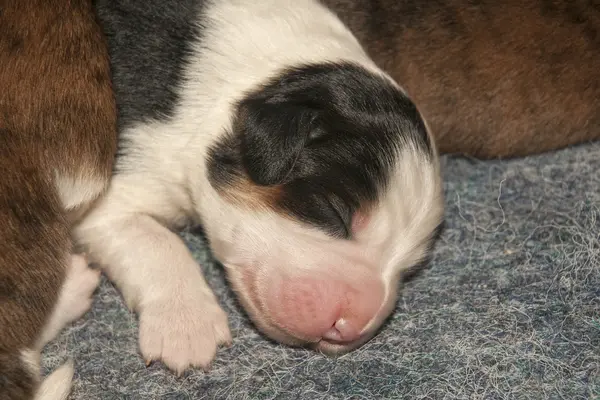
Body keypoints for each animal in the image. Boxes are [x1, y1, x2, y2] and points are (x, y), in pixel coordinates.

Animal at [74, 0, 440, 376]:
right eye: (337, 212)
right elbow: (157, 241)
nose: (351, 325)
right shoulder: (109, 184)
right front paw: (188, 327)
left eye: (409, 268)